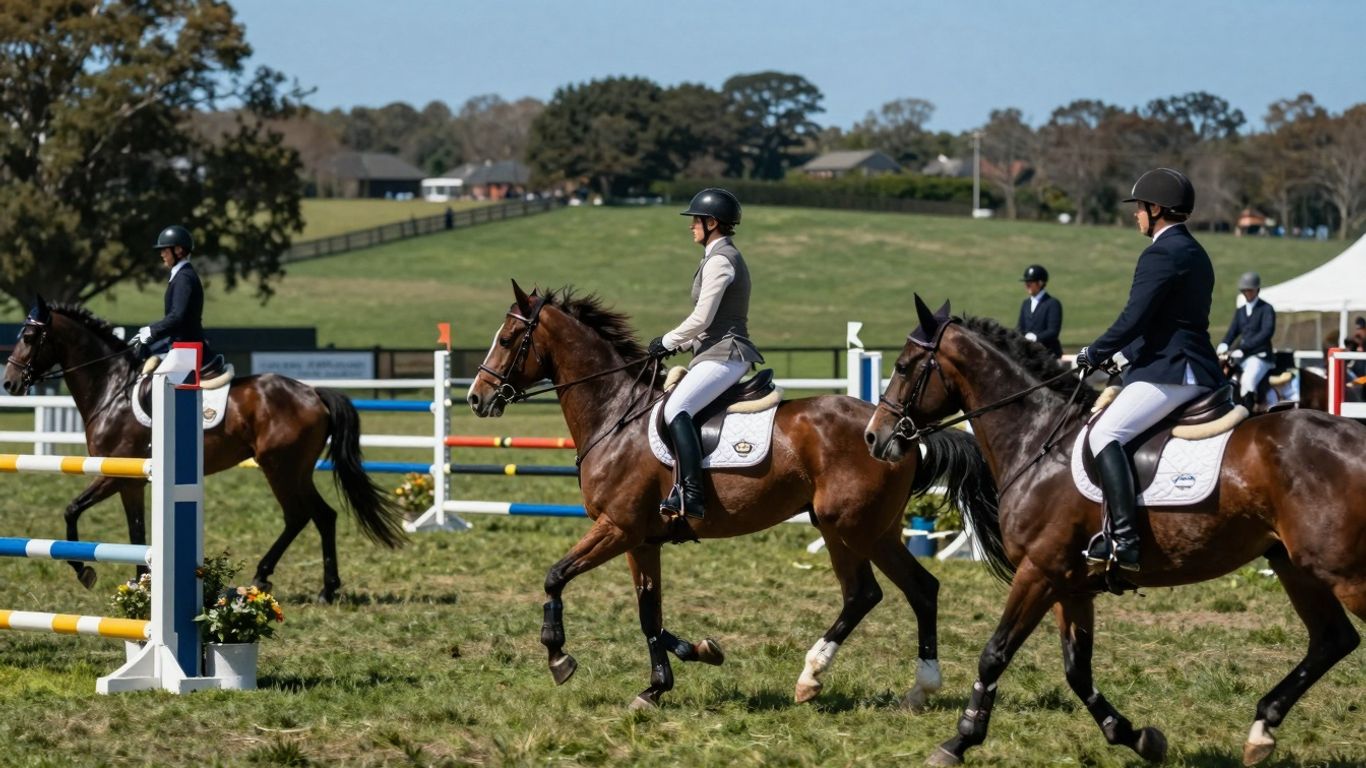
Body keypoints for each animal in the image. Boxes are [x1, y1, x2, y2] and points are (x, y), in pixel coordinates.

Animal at [2, 297, 407, 602]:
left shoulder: (114, 472)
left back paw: (275, 579)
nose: (10, 383)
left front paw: (84, 569)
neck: (112, 388)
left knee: (300, 515)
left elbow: (72, 510)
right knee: (322, 516)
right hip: (294, 469)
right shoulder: (129, 481)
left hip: (279, 467)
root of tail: (312, 392)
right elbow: (136, 531)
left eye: (29, 336)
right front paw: (140, 582)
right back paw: (324, 587)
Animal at [465, 281, 994, 710]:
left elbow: (556, 576)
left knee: (899, 589)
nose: (476, 397)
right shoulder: (642, 540)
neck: (614, 416)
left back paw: (880, 682)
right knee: (881, 592)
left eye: (508, 339)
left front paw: (559, 656)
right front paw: (671, 674)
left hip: (856, 527)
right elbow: (648, 613)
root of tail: (896, 432)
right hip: (853, 529)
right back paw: (838, 681)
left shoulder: (618, 528)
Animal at [864, 296, 1366, 767]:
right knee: (1333, 639)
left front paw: (959, 740)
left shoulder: (1039, 572)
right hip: (1295, 566)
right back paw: (1261, 729)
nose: (874, 436)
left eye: (903, 366)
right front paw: (1136, 737)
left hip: (1343, 573)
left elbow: (995, 653)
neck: (1038, 439)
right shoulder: (1071, 585)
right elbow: (1077, 670)